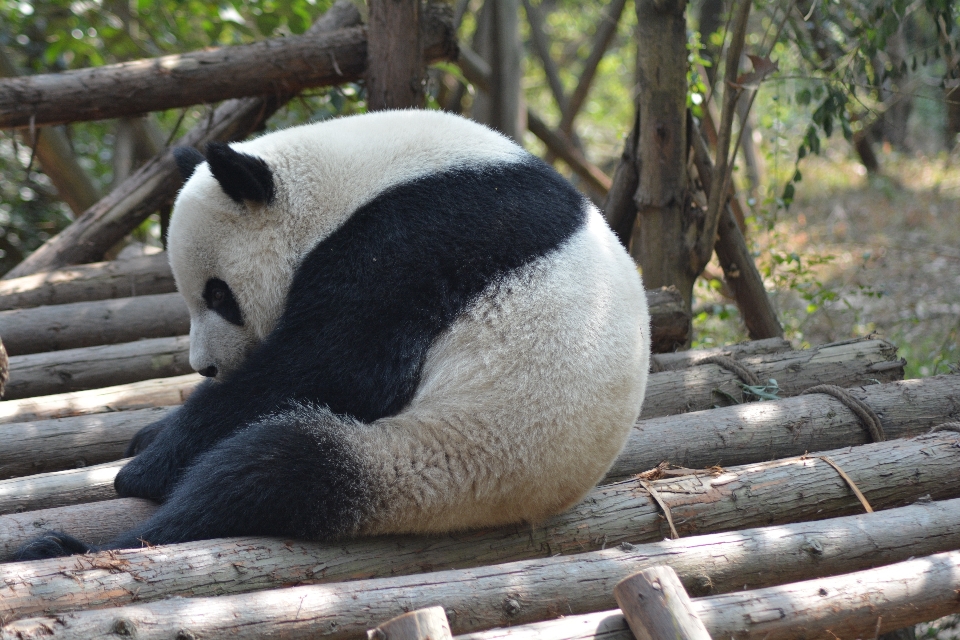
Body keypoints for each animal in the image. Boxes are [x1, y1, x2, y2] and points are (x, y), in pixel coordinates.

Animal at [18, 110, 652, 560]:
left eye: (218, 295)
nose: (206, 368)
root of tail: (530, 504)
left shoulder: (422, 238)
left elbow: (335, 365)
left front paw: (146, 464)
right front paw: (147, 435)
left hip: (442, 459)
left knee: (270, 471)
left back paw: (69, 547)